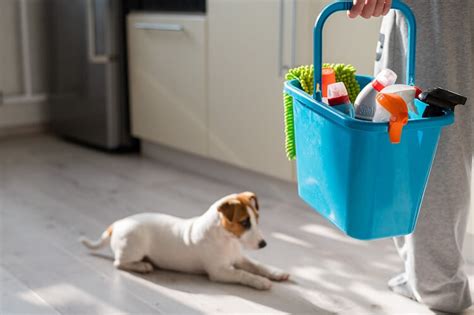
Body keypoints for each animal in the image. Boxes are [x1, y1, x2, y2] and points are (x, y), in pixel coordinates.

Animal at [78, 191, 288, 290]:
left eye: (257, 219)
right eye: (244, 222)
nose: (263, 244)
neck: (226, 239)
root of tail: (117, 223)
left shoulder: (238, 258)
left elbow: (257, 265)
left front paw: (276, 273)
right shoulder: (220, 272)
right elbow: (243, 274)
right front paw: (260, 282)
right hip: (133, 247)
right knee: (119, 263)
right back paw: (142, 266)